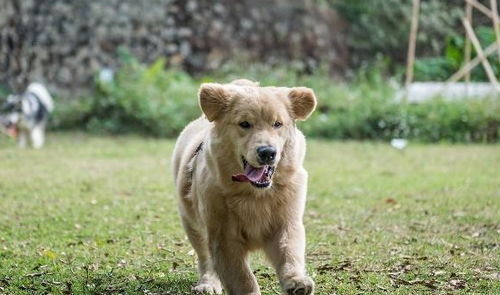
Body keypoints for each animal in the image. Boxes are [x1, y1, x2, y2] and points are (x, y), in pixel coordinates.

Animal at [172, 79, 316, 295]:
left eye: (277, 124)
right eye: (245, 124)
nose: (267, 152)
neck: (253, 194)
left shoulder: (286, 221)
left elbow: (289, 252)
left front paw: (297, 282)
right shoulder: (223, 236)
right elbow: (241, 276)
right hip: (192, 223)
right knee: (206, 258)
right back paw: (208, 283)